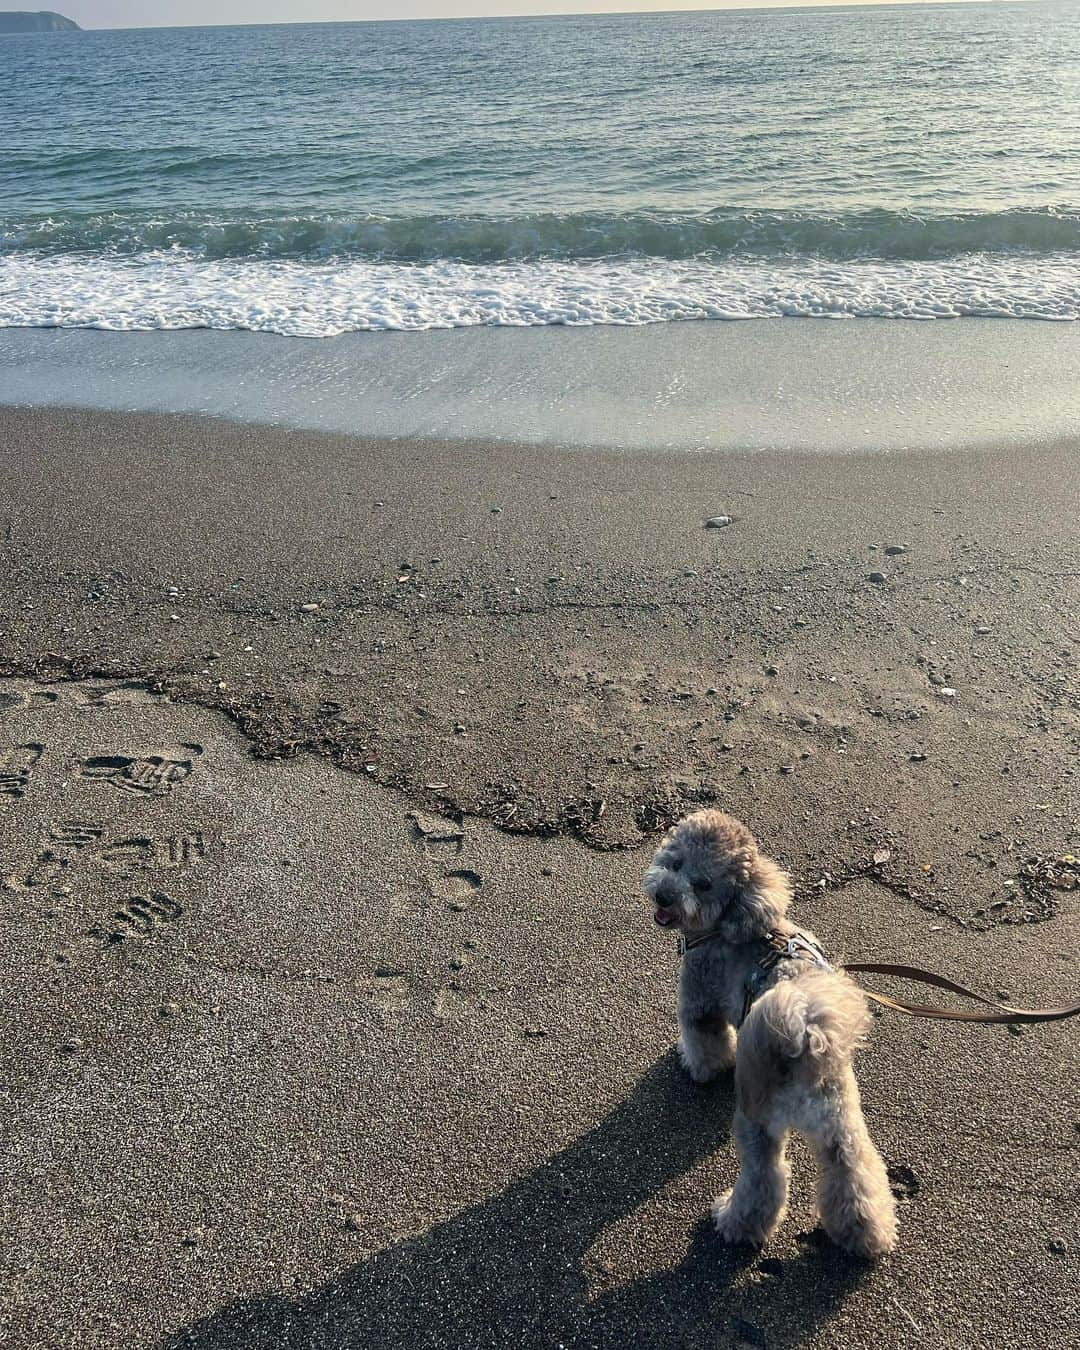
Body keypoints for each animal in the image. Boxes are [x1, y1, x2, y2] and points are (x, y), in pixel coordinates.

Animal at [645, 804, 896, 1258]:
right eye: (675, 863)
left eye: (703, 884)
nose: (664, 896)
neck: (732, 922)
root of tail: (804, 1038)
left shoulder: (698, 996)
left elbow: (704, 1042)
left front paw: (696, 1065)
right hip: (841, 1122)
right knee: (853, 1170)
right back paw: (865, 1233)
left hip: (757, 1118)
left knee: (765, 1178)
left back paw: (734, 1223)